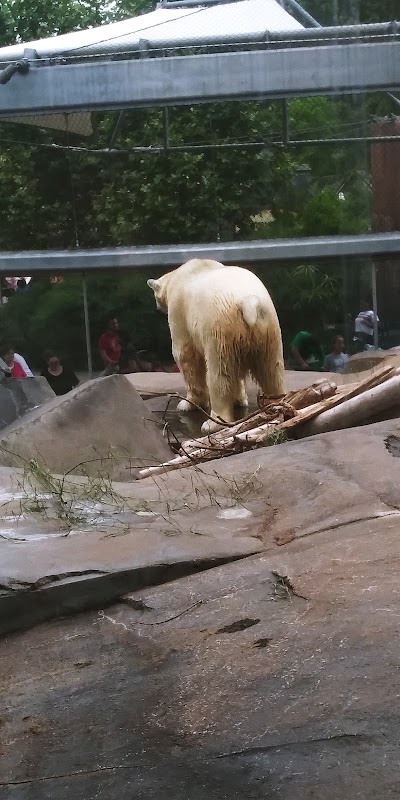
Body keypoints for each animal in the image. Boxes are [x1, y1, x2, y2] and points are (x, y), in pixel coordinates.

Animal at [147, 260, 284, 432]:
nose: (157, 307)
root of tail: (248, 303)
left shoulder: (179, 312)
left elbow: (186, 356)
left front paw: (187, 404)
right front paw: (239, 400)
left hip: (220, 327)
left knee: (219, 374)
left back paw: (212, 423)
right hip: (268, 326)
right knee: (272, 369)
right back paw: (277, 403)